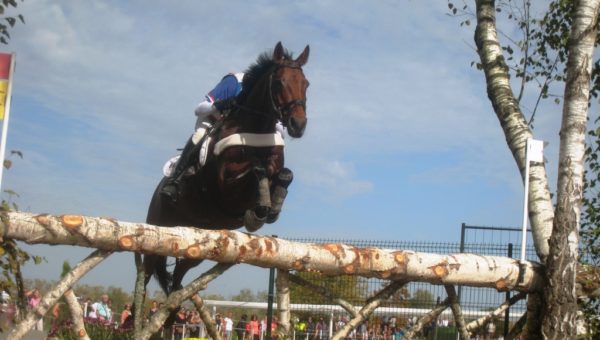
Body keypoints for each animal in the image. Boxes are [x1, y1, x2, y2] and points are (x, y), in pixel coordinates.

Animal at [141, 41, 310, 298]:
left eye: (306, 84)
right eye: (280, 82)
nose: (298, 125)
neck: (255, 128)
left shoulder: (274, 167)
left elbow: (285, 174)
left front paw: (273, 207)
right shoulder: (227, 188)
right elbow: (257, 170)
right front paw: (260, 209)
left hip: (197, 246)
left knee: (178, 280)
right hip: (157, 233)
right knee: (145, 277)